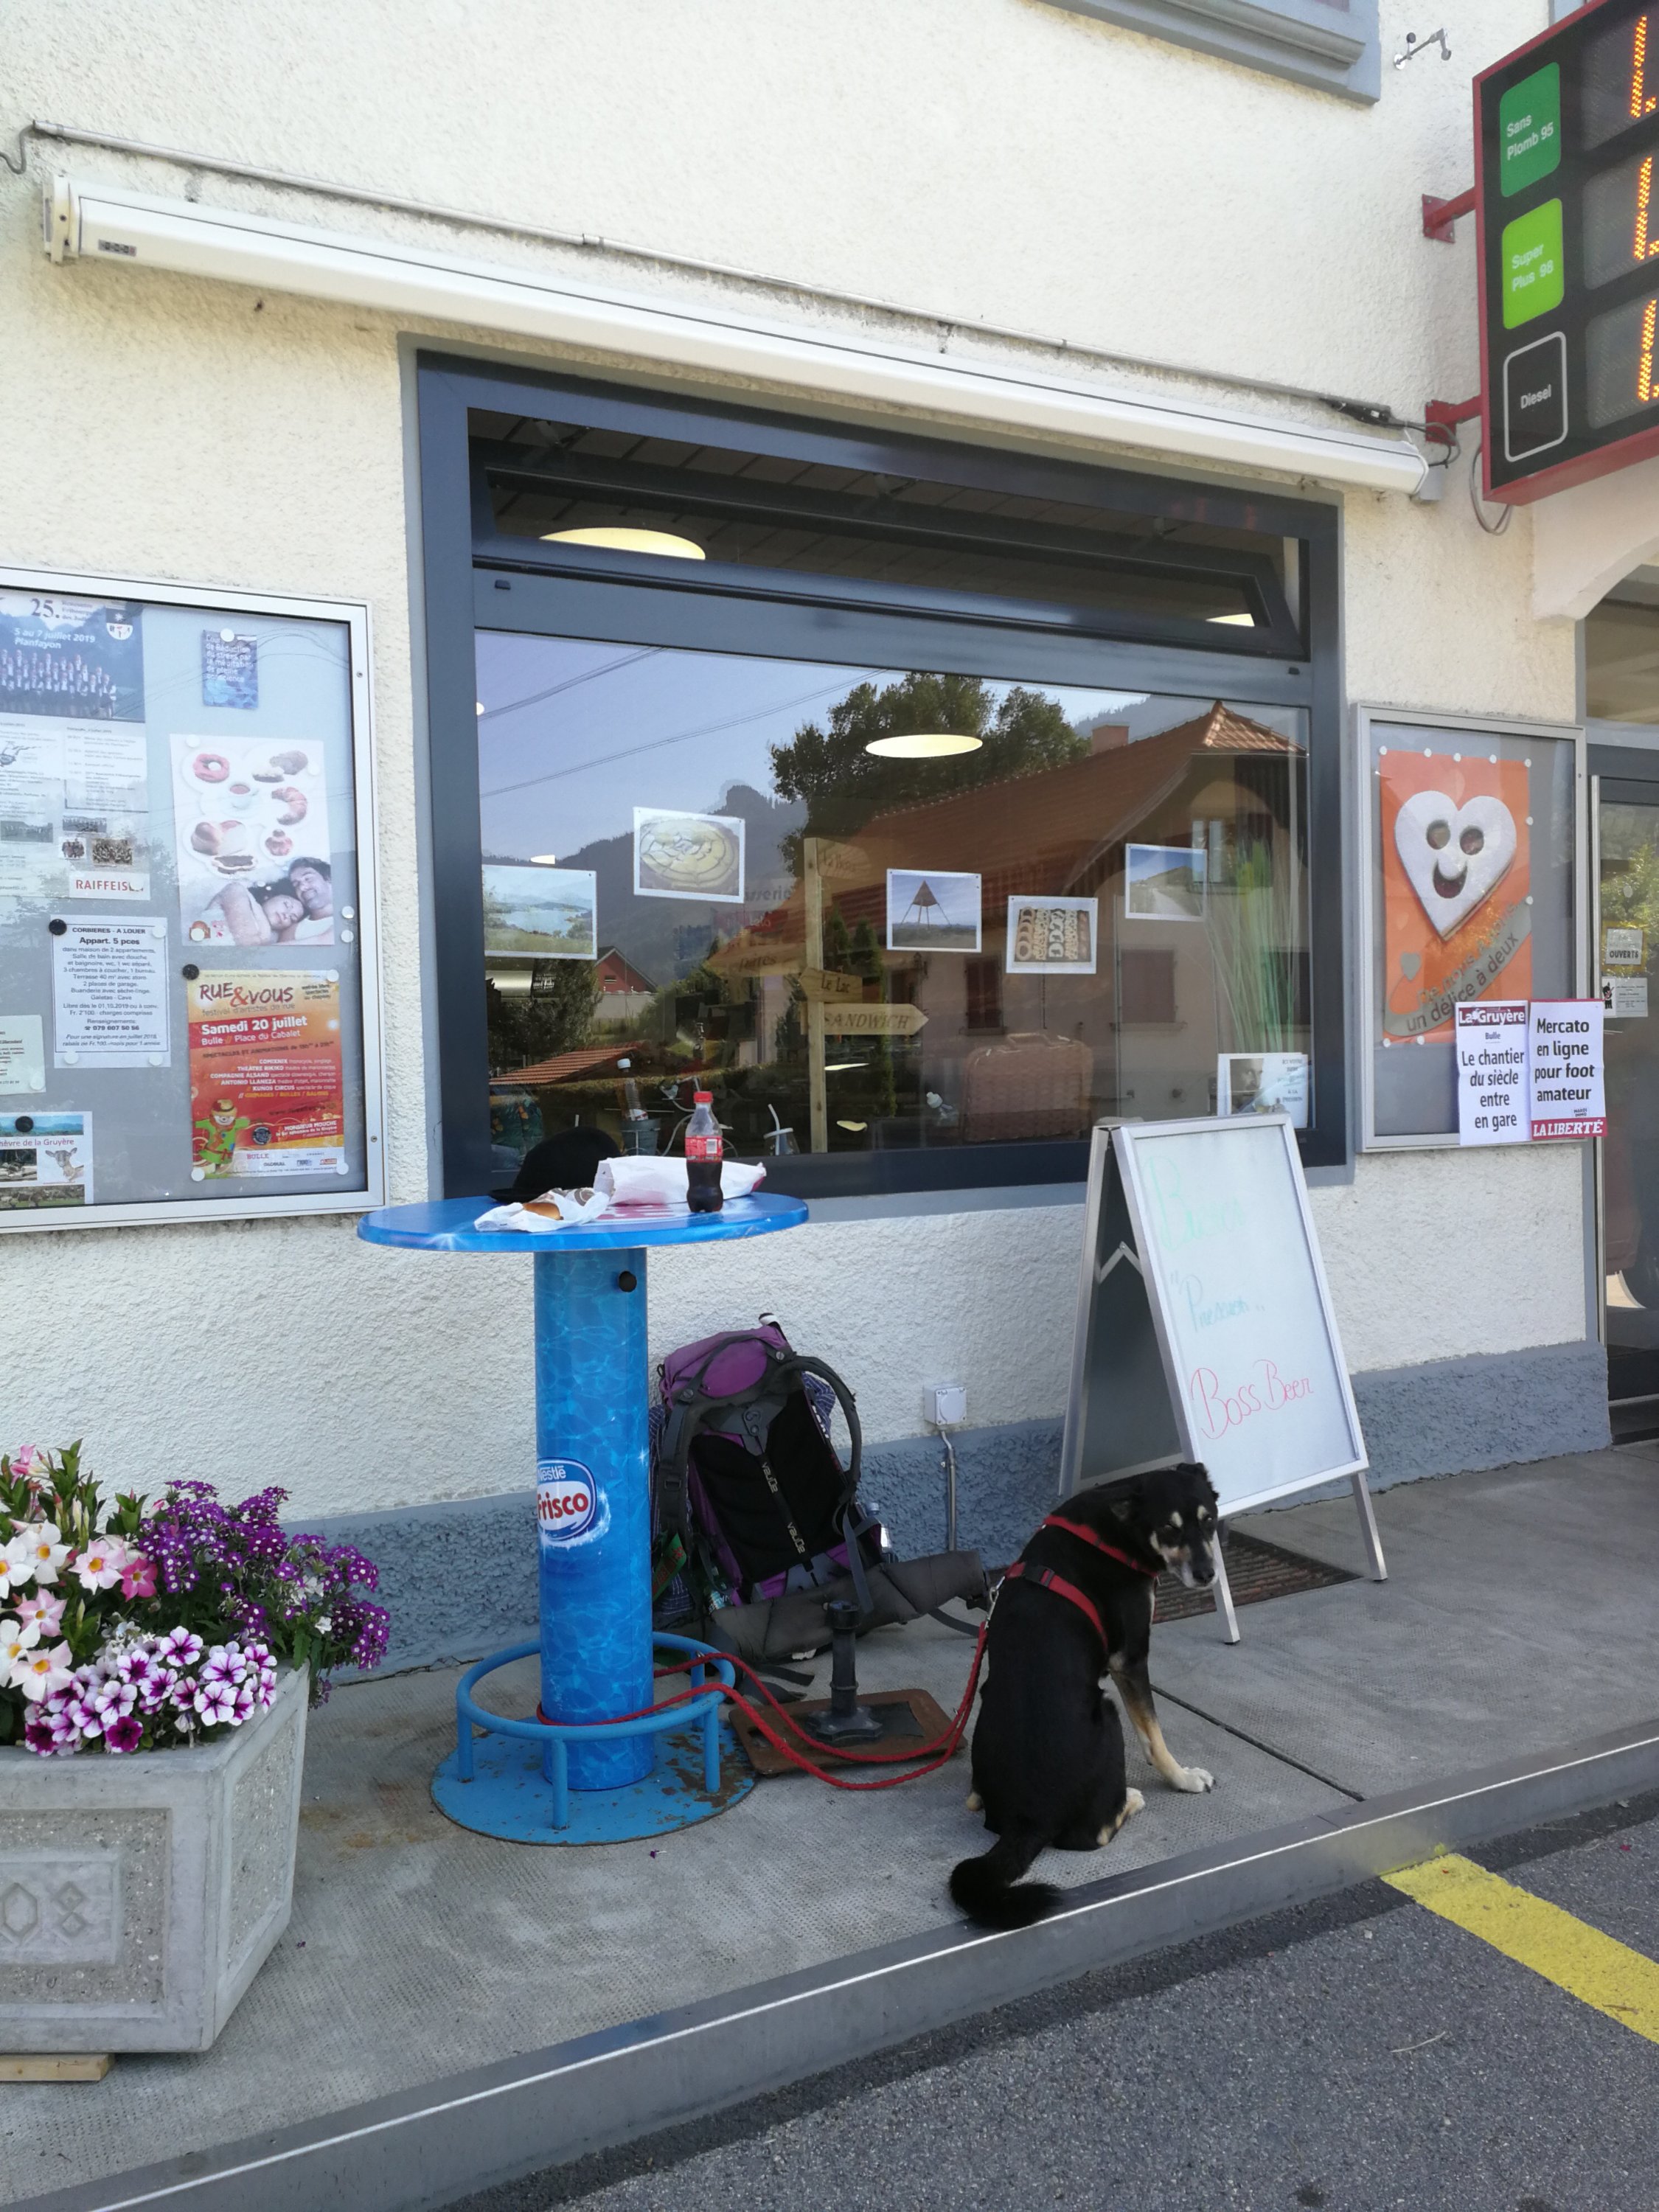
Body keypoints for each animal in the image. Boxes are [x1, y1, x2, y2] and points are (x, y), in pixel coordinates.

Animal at [948, 1462, 1221, 1930]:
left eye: (1209, 1520)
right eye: (1169, 1529)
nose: (1207, 1575)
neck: (1118, 1525)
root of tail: (1028, 1821)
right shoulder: (1130, 1660)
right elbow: (1154, 1737)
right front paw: (1182, 1778)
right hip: (1107, 1713)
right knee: (1091, 1836)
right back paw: (1129, 1799)